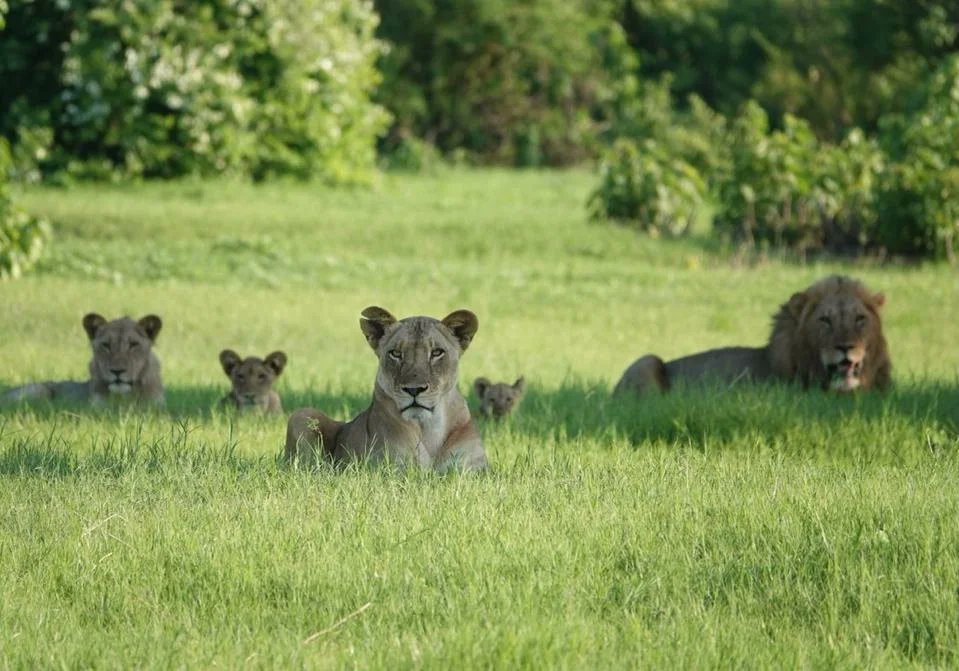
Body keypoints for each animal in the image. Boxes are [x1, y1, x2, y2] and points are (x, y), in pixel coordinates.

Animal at [284, 306, 488, 472]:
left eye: (437, 352)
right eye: (396, 354)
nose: (414, 390)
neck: (428, 428)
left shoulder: (473, 470)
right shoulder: (389, 468)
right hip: (302, 415)